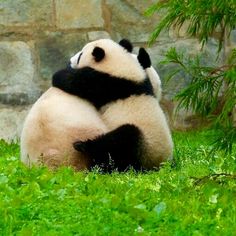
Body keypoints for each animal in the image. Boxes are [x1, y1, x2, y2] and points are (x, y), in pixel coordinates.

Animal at [52, 38, 172, 171]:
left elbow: (78, 82)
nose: (70, 60)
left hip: (144, 144)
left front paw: (59, 74)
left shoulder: (108, 85)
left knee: (122, 140)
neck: (121, 65)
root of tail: (159, 164)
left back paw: (84, 147)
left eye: (80, 56)